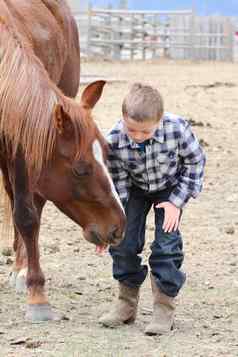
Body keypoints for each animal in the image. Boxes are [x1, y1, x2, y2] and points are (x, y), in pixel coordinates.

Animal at [0, 0, 125, 322]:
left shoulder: (24, 145)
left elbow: (27, 215)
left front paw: (37, 297)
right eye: (81, 170)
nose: (118, 227)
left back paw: (21, 270)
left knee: (32, 205)